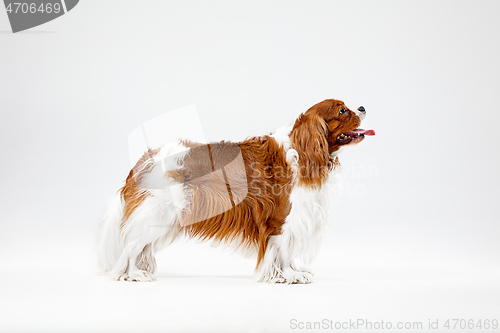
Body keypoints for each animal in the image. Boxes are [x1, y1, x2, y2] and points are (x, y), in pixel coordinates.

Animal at [95, 99, 374, 282]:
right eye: (342, 110)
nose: (362, 107)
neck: (301, 149)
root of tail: (144, 159)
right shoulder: (281, 217)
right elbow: (283, 249)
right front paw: (288, 275)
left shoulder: (297, 215)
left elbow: (289, 250)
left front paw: (294, 271)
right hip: (159, 211)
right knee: (131, 245)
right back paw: (132, 274)